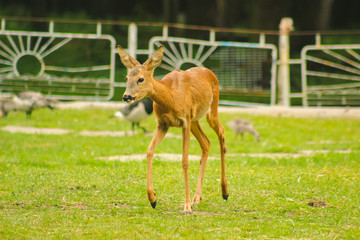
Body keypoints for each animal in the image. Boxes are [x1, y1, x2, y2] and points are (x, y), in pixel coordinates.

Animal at [118, 45, 231, 214]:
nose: (126, 96)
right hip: (195, 119)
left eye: (140, 79)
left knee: (222, 132)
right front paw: (153, 199)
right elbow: (149, 151)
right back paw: (197, 198)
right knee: (206, 142)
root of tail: (210, 72)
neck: (171, 97)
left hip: (211, 109)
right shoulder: (162, 124)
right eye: (126, 78)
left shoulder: (185, 122)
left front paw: (186, 207)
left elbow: (184, 161)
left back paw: (224, 191)